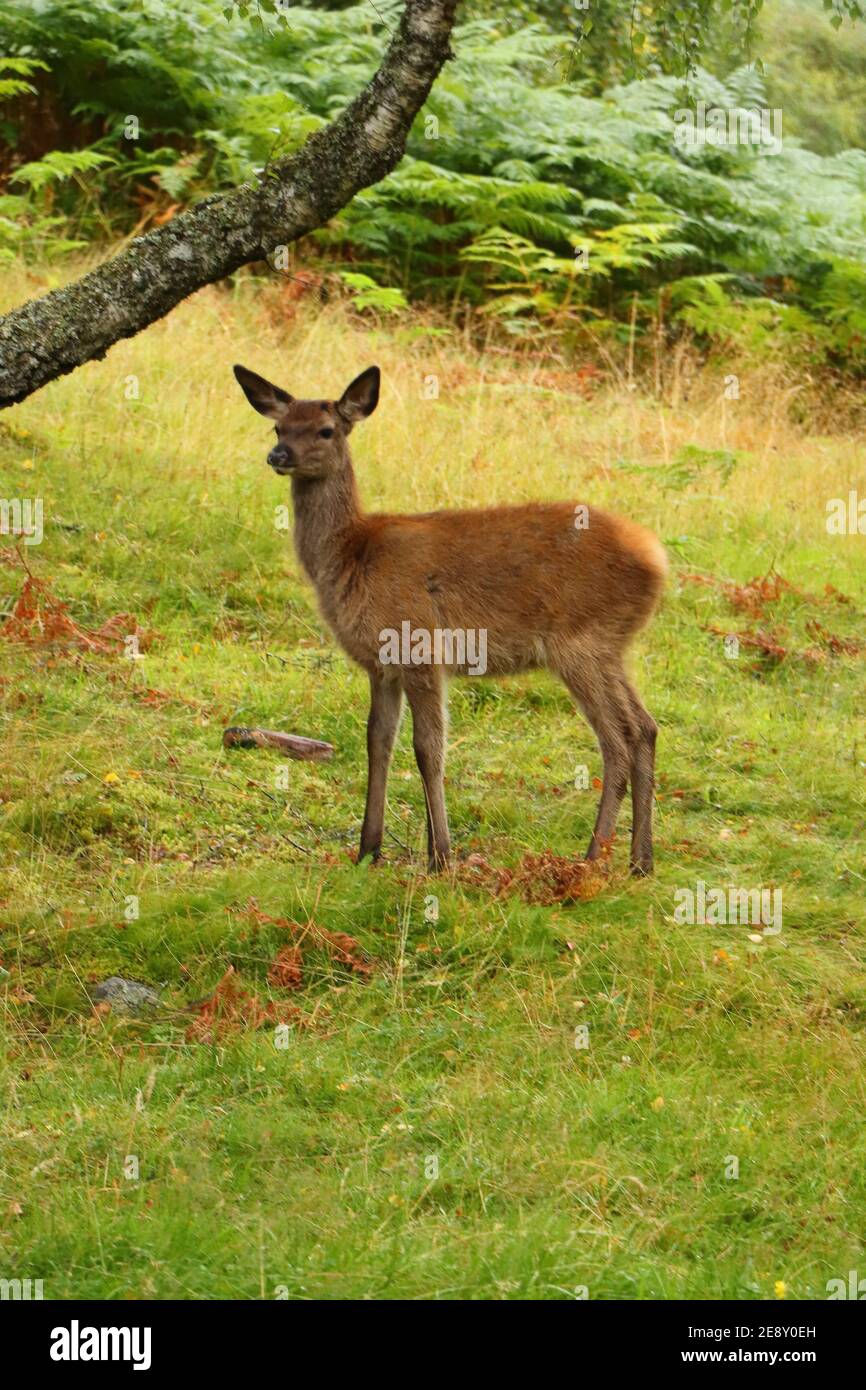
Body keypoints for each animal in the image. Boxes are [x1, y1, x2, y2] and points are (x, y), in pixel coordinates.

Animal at [233, 363, 667, 875]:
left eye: (325, 429)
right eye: (279, 426)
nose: (278, 454)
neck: (351, 554)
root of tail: (656, 559)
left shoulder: (420, 647)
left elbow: (428, 749)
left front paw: (440, 857)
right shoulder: (382, 665)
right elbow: (377, 742)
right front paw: (369, 850)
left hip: (580, 642)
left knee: (618, 738)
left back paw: (592, 857)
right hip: (610, 647)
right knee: (645, 727)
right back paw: (640, 861)